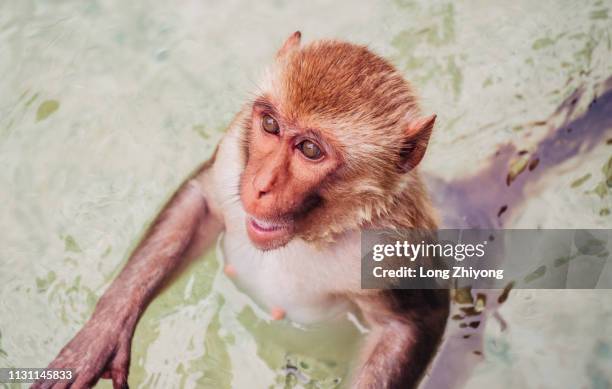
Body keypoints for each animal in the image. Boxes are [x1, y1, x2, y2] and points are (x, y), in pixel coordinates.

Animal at [34, 31, 450, 386]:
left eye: (310, 149)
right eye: (269, 124)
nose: (260, 184)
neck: (313, 234)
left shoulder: (393, 248)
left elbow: (409, 325)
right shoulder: (233, 156)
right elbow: (201, 202)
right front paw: (102, 335)